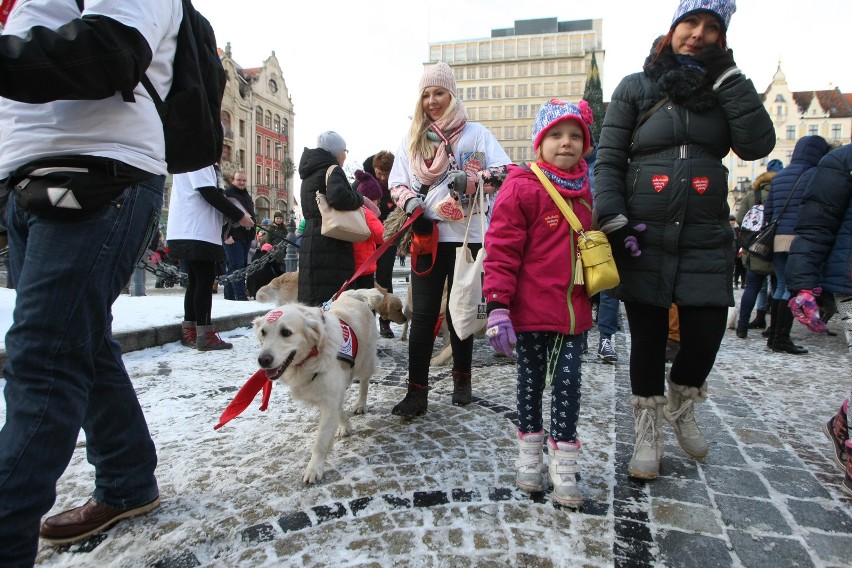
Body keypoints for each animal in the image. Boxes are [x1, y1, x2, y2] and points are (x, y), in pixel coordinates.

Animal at [253, 288, 382, 484]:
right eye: (263, 332)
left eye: (286, 332)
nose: (263, 360)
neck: (311, 356)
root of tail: (353, 294)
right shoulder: (326, 393)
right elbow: (338, 410)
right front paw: (345, 426)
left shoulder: (330, 396)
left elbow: (320, 441)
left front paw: (314, 470)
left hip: (365, 361)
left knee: (365, 383)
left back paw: (361, 404)